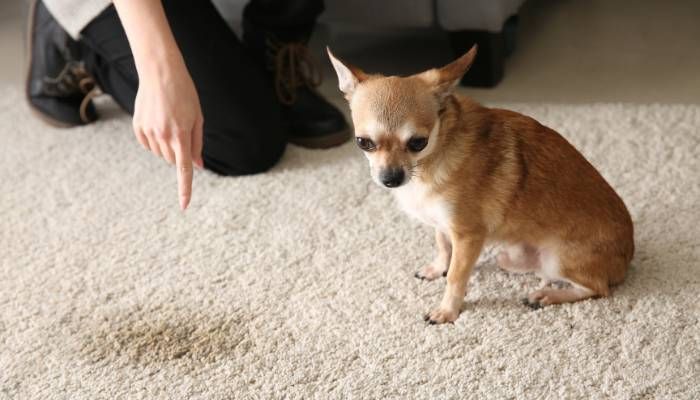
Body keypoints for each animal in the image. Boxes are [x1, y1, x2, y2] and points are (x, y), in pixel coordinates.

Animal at [328, 45, 636, 324]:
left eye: (418, 143)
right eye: (363, 142)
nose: (391, 178)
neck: (431, 161)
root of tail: (627, 257)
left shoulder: (468, 235)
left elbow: (456, 276)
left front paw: (447, 311)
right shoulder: (443, 224)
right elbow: (443, 246)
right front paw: (438, 268)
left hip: (558, 259)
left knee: (598, 289)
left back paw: (548, 295)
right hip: (511, 257)